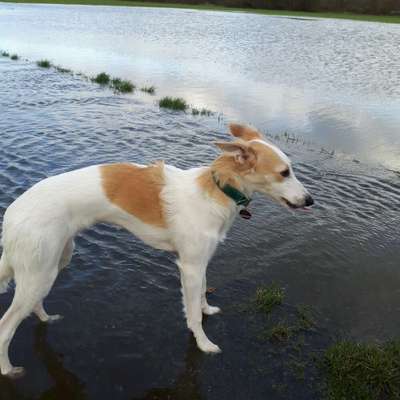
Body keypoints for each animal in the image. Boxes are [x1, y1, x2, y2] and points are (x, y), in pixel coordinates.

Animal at [0, 125, 312, 378]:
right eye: (284, 173)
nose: (310, 200)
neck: (218, 189)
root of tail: (12, 214)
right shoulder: (189, 267)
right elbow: (192, 314)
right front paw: (203, 343)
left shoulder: (200, 262)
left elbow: (203, 292)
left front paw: (207, 308)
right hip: (39, 272)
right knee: (5, 326)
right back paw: (8, 370)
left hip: (53, 264)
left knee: (35, 303)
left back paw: (45, 318)